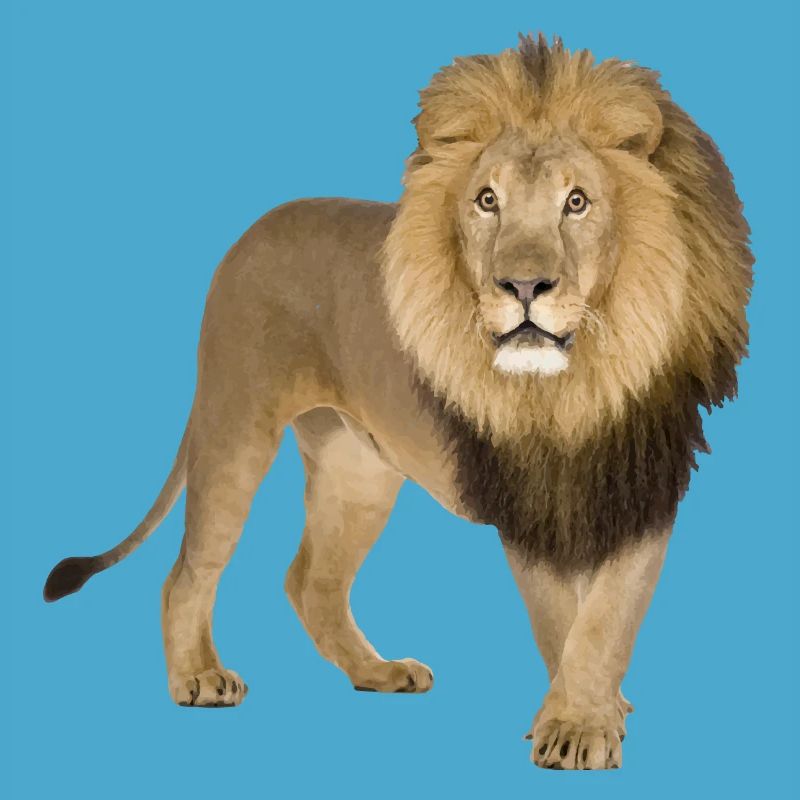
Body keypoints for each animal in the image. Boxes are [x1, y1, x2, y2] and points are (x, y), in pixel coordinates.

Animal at [44, 34, 752, 770]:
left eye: (577, 202)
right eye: (488, 200)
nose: (523, 285)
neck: (576, 382)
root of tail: (251, 231)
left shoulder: (642, 487)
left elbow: (608, 618)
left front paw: (591, 714)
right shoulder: (522, 501)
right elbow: (562, 622)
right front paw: (575, 724)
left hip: (357, 468)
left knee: (312, 582)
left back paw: (377, 672)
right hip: (235, 425)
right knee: (189, 570)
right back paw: (199, 677)